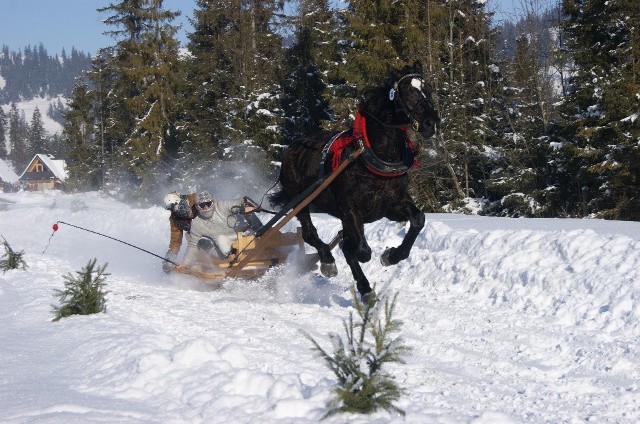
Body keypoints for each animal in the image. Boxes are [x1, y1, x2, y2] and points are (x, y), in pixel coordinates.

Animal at [270, 62, 440, 302]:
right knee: (309, 233)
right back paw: (329, 262)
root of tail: (291, 148)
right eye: (407, 90)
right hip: (300, 202)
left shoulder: (391, 205)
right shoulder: (350, 209)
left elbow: (417, 219)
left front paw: (391, 255)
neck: (372, 154)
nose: (431, 123)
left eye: (429, 88)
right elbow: (361, 251)